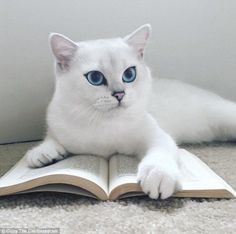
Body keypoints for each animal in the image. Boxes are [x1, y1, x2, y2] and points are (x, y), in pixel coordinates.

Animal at [25, 23, 236, 199]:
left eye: (129, 74)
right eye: (95, 78)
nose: (119, 94)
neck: (103, 124)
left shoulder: (155, 135)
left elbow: (161, 151)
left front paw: (158, 175)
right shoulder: (58, 122)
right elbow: (52, 137)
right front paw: (43, 152)